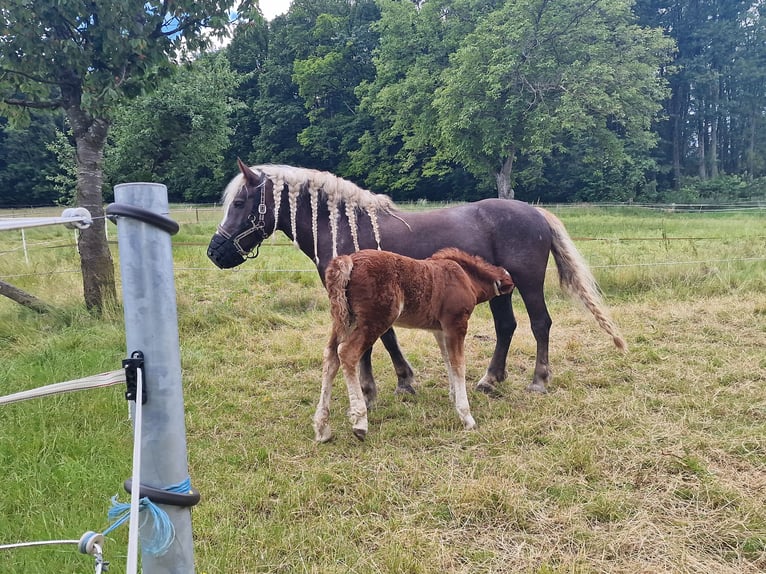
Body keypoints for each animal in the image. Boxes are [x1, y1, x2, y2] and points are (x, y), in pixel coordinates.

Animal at [312, 246, 516, 440]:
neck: (466, 277)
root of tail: (349, 260)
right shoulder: (455, 324)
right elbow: (459, 365)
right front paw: (466, 416)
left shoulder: (439, 330)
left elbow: (448, 360)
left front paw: (452, 396)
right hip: (375, 320)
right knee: (347, 353)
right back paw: (360, 424)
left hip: (345, 320)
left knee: (330, 356)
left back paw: (322, 428)